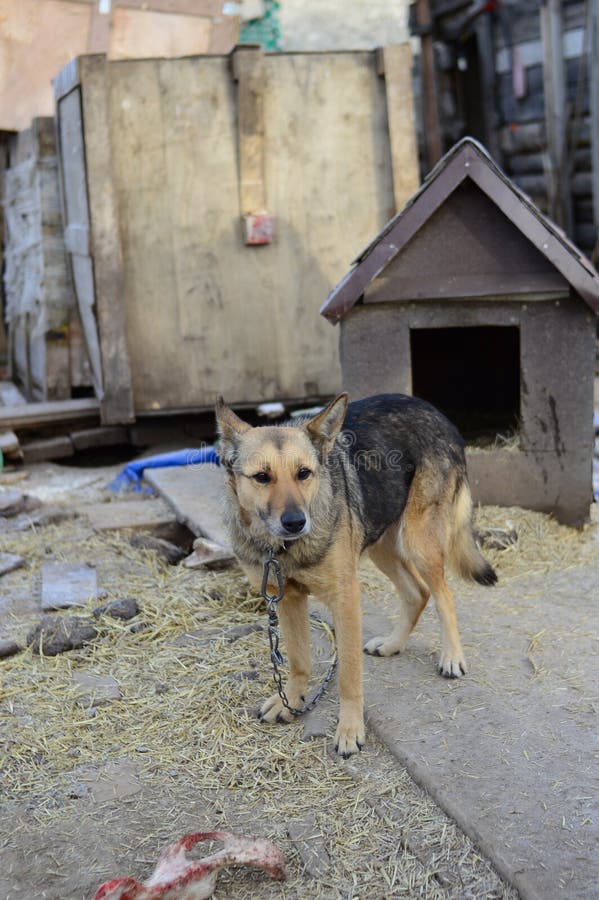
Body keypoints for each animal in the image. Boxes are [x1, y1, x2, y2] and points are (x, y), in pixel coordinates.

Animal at [216, 394, 496, 760]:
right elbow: (298, 659)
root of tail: (431, 408)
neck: (282, 549)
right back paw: (392, 644)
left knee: (442, 595)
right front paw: (291, 699)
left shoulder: (344, 598)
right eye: (262, 477)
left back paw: (451, 657)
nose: (296, 522)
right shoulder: (288, 600)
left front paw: (350, 729)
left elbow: (348, 675)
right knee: (417, 593)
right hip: (382, 543)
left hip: (418, 540)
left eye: (303, 473)